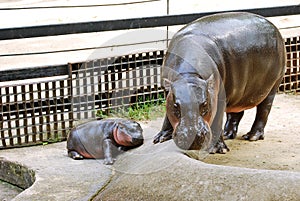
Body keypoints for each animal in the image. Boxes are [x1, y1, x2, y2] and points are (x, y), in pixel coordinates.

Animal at [154, 12, 284, 152]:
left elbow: (217, 121)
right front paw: (160, 138)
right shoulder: (168, 91)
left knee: (263, 111)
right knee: (236, 113)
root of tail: (274, 27)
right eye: (176, 106)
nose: (193, 138)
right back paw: (227, 134)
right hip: (238, 92)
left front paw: (218, 149)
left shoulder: (219, 97)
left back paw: (252, 136)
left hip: (272, 86)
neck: (189, 76)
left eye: (205, 104)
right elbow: (167, 116)